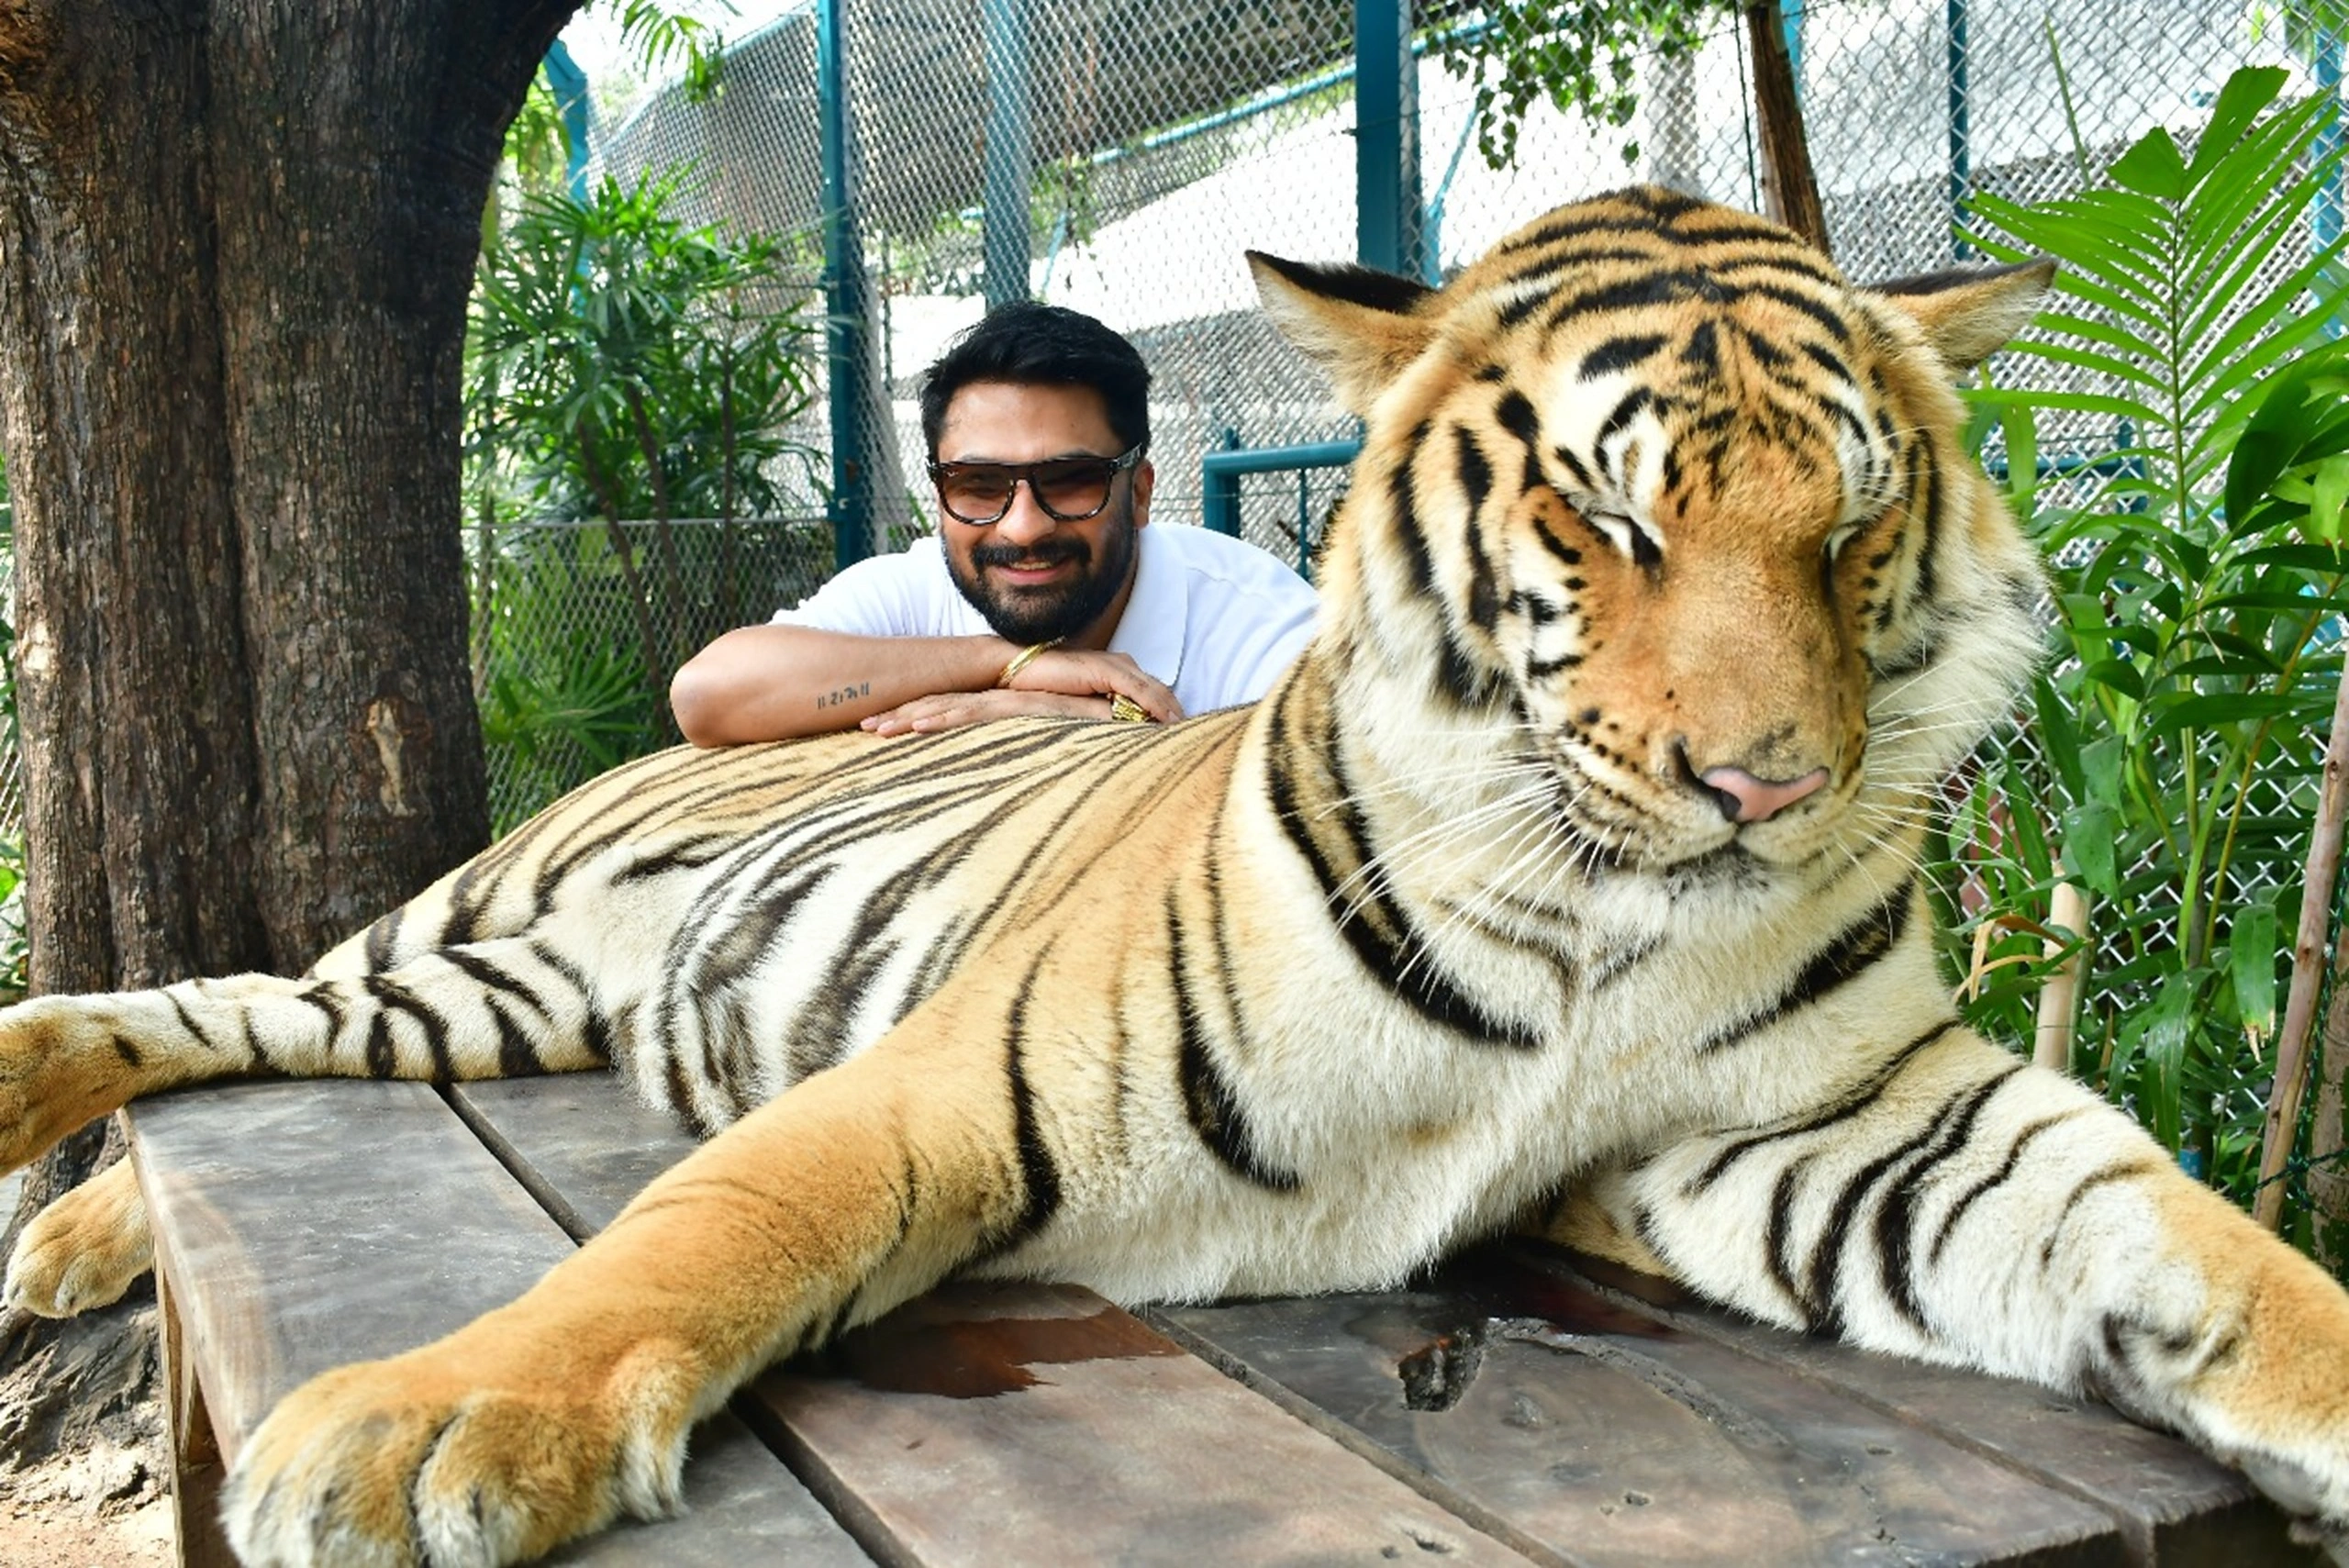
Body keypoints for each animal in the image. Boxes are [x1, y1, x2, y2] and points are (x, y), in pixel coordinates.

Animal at [0, 184, 2345, 1568]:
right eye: (1606, 522)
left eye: (1849, 527)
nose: (1761, 787)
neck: (1597, 926)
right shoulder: (944, 1078)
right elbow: (704, 1228)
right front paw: (424, 1426)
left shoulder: (1830, 1124)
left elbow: (2190, 1246)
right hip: (486, 920)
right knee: (228, 999)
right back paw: (47, 1138)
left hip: (501, 1003)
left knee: (275, 1038)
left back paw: (69, 1222)